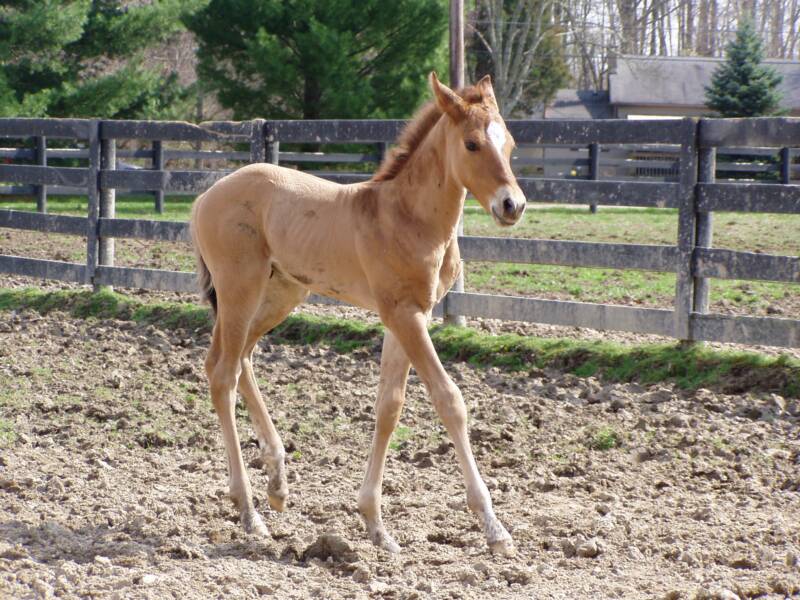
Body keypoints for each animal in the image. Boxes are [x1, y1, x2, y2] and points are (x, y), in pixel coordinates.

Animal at [191, 75, 528, 556]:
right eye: (472, 144)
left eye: (511, 143)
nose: (512, 205)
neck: (406, 218)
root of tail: (205, 196)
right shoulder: (405, 316)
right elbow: (449, 400)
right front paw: (494, 528)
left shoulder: (408, 316)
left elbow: (389, 406)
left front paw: (375, 525)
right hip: (241, 288)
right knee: (223, 374)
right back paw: (250, 512)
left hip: (280, 293)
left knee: (238, 360)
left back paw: (278, 484)